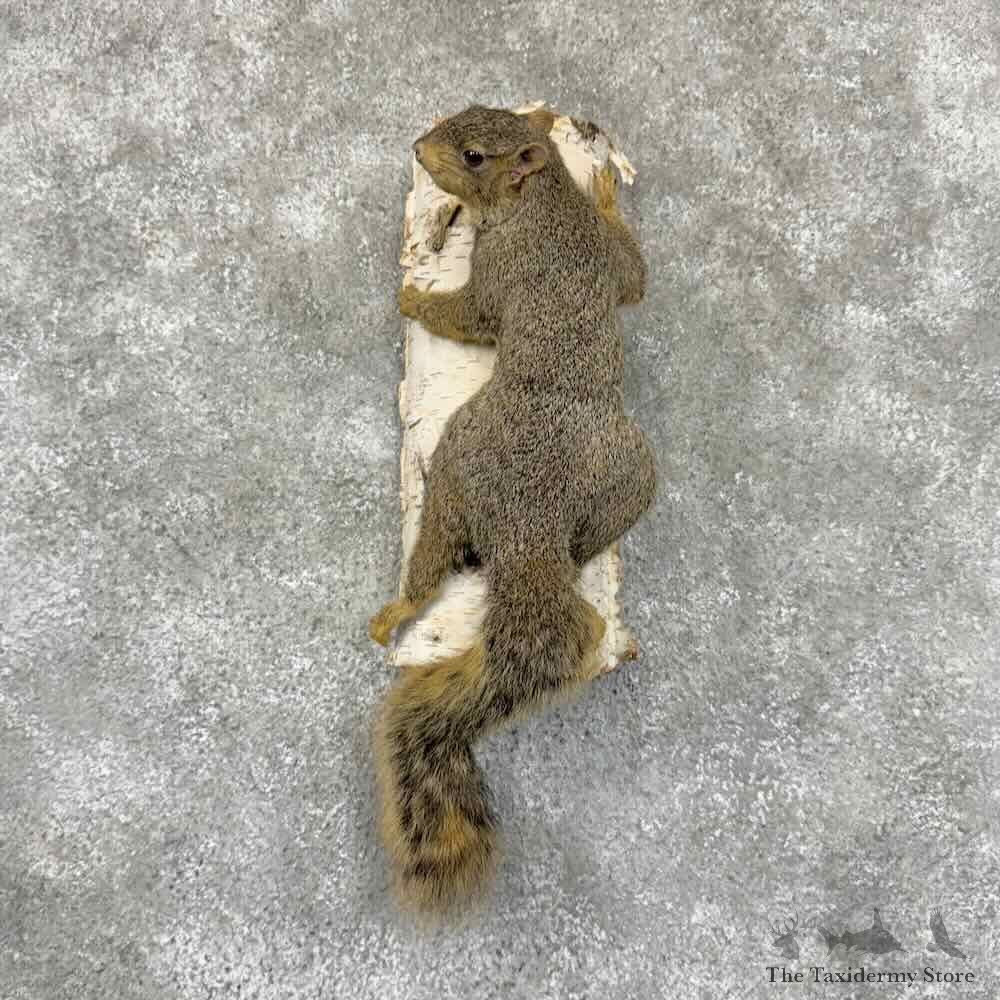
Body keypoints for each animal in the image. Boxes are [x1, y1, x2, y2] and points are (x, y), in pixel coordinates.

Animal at [369, 105, 656, 915]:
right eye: (464, 110)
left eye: (472, 154)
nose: (416, 149)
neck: (544, 202)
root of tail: (532, 527)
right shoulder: (611, 261)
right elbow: (636, 277)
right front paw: (608, 193)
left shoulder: (498, 271)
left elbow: (469, 312)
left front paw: (414, 299)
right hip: (632, 477)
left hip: (454, 465)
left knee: (434, 548)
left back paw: (399, 607)